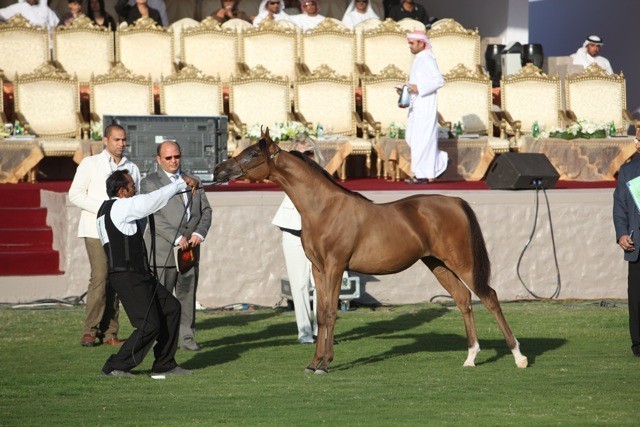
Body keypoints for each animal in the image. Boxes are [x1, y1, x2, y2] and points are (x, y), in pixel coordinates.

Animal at [213, 130, 528, 374]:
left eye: (253, 154)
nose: (219, 170)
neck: (324, 208)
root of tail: (456, 201)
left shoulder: (335, 266)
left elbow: (330, 313)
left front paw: (325, 364)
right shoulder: (318, 268)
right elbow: (322, 312)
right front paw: (314, 363)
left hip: (462, 262)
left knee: (489, 297)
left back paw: (518, 356)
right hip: (437, 264)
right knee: (463, 300)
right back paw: (471, 357)